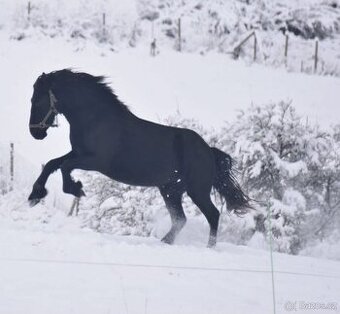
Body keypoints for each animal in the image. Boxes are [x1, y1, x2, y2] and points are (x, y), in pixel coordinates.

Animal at [28, 70, 250, 247]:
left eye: (36, 100)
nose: (35, 133)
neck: (96, 118)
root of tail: (209, 151)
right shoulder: (78, 153)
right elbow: (52, 164)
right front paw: (35, 196)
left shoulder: (95, 161)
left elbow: (65, 167)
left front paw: (77, 188)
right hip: (171, 191)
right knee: (180, 220)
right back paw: (165, 242)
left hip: (197, 190)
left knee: (213, 215)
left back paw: (208, 247)